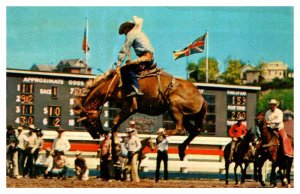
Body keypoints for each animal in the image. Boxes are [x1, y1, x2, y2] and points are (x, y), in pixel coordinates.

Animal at [74, 66, 207, 162]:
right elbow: (115, 125)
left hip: (174, 107)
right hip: (184, 115)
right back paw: (181, 150)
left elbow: (114, 123)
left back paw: (161, 136)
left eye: (86, 121)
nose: (96, 135)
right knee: (194, 131)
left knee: (180, 129)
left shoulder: (129, 108)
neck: (115, 85)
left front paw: (116, 147)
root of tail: (201, 98)